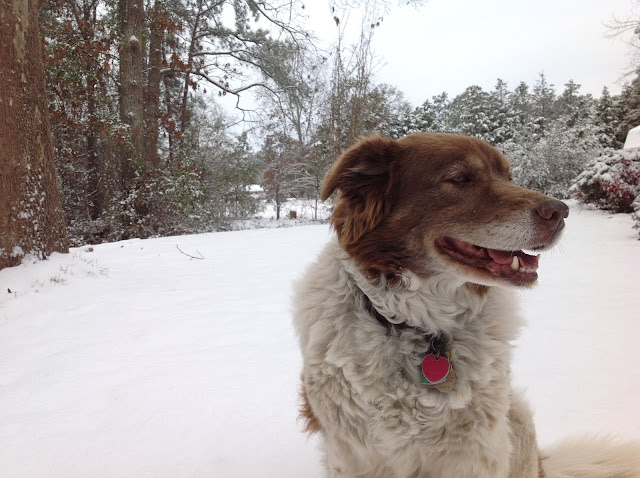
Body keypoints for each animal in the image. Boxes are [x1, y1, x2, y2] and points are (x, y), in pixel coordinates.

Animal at [292, 134, 636, 478]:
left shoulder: (474, 452)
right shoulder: (355, 455)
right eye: (459, 178)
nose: (560, 211)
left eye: (508, 176)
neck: (423, 330)